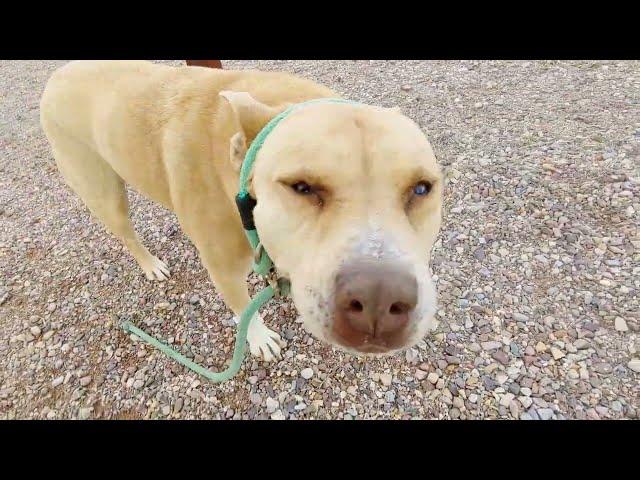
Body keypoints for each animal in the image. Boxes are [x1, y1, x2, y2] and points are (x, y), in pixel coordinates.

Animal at [37, 60, 442, 360]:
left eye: (422, 188)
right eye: (301, 187)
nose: (379, 302)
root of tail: (59, 72)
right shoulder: (224, 271)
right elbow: (243, 309)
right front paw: (260, 338)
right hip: (103, 192)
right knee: (126, 232)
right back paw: (151, 265)